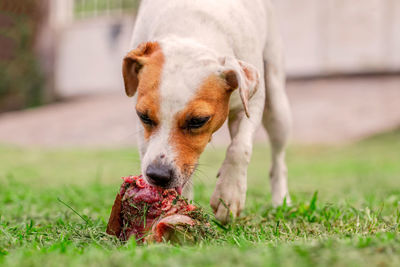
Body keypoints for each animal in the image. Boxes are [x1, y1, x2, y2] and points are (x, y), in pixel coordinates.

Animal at [122, 0, 290, 224]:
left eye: (198, 120)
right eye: (144, 117)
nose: (157, 175)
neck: (191, 27)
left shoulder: (251, 102)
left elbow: (239, 148)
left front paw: (229, 195)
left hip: (277, 107)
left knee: (278, 159)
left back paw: (281, 199)